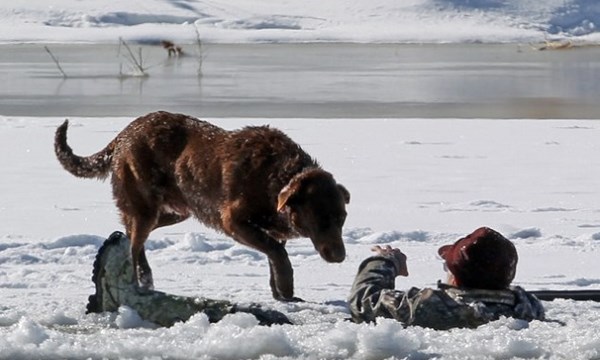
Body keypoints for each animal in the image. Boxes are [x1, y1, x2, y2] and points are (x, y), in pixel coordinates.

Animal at [55, 110, 352, 300]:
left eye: (342, 218)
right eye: (319, 218)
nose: (340, 256)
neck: (277, 176)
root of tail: (124, 133)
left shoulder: (273, 230)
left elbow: (274, 255)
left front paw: (279, 293)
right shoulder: (233, 221)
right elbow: (277, 253)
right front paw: (287, 288)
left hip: (177, 210)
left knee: (131, 233)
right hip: (146, 207)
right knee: (135, 243)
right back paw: (140, 281)